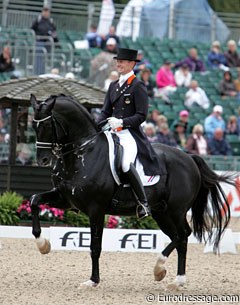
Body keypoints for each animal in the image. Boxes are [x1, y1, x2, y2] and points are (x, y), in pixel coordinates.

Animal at [30, 94, 234, 286]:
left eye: (47, 124)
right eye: (33, 125)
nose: (42, 160)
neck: (83, 152)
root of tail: (190, 157)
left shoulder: (96, 209)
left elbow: (95, 246)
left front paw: (93, 281)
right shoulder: (65, 199)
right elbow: (34, 200)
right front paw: (43, 245)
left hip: (176, 210)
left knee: (183, 235)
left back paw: (167, 273)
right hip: (161, 212)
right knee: (178, 236)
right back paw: (170, 276)